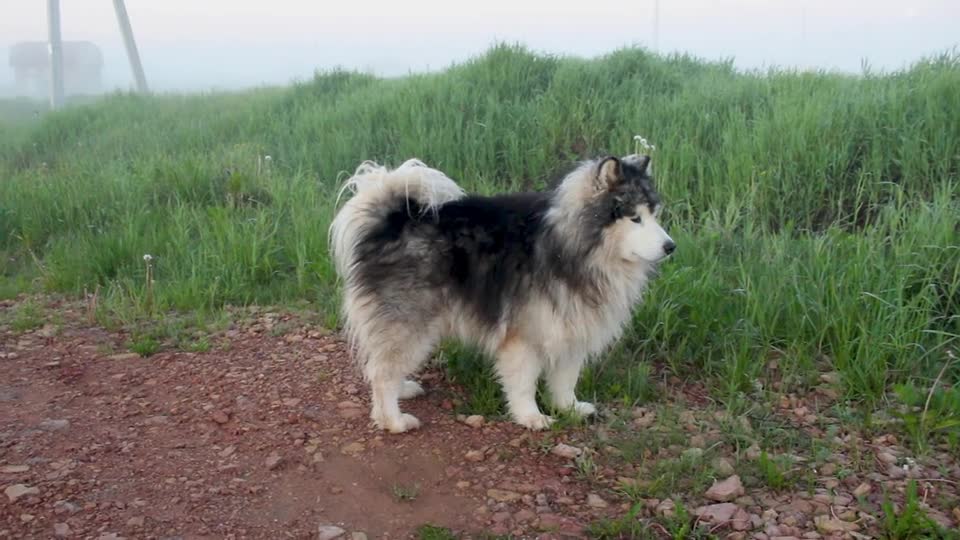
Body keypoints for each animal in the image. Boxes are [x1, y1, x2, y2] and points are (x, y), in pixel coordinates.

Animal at [330, 154, 676, 432]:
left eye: (654, 214)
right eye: (634, 218)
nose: (671, 246)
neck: (570, 247)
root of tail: (390, 221)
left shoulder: (571, 328)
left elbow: (565, 379)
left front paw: (569, 408)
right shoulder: (525, 336)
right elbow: (523, 383)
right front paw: (531, 416)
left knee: (384, 365)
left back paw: (403, 388)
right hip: (410, 323)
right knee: (381, 372)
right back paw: (393, 420)